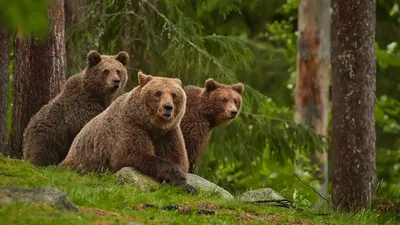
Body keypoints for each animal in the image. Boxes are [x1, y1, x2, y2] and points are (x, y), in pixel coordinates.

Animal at [60, 71, 196, 193]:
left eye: (174, 94)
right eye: (158, 93)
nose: (168, 107)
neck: (152, 126)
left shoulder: (168, 133)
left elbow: (177, 157)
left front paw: (184, 183)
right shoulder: (131, 126)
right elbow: (132, 155)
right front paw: (184, 182)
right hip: (83, 161)